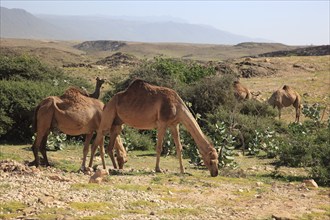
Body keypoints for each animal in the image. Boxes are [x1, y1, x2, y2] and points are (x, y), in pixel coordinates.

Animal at [89, 79, 220, 177]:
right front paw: (158, 169)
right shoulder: (162, 123)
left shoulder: (174, 124)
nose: (215, 173)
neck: (177, 106)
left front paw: (182, 170)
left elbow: (179, 147)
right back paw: (89, 167)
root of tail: (106, 103)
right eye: (211, 159)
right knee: (97, 139)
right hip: (108, 115)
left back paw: (115, 168)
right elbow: (159, 147)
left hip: (117, 123)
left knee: (110, 146)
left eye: (217, 158)